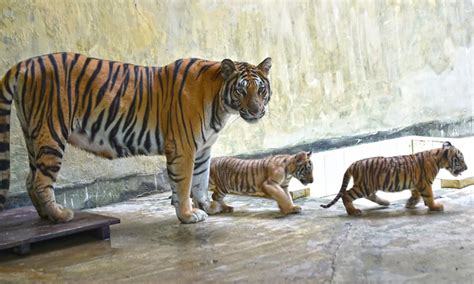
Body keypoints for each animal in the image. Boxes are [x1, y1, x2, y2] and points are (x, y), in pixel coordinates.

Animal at [0, 52, 272, 223]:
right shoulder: (184, 147)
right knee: (40, 181)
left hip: (33, 134)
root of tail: (24, 64)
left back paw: (46, 217)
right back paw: (60, 216)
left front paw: (208, 207)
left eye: (261, 89)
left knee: (29, 179)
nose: (257, 111)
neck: (221, 104)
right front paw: (187, 215)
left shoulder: (203, 149)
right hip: (51, 133)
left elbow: (201, 180)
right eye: (241, 90)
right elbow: (184, 184)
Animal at [322, 142, 466, 215]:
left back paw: (385, 202)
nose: (467, 167)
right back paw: (353, 211)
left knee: (369, 195)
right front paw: (435, 207)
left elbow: (416, 195)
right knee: (346, 194)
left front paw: (409, 204)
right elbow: (429, 196)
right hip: (364, 186)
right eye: (460, 159)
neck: (438, 158)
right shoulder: (425, 183)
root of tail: (353, 164)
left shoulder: (416, 183)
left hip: (368, 185)